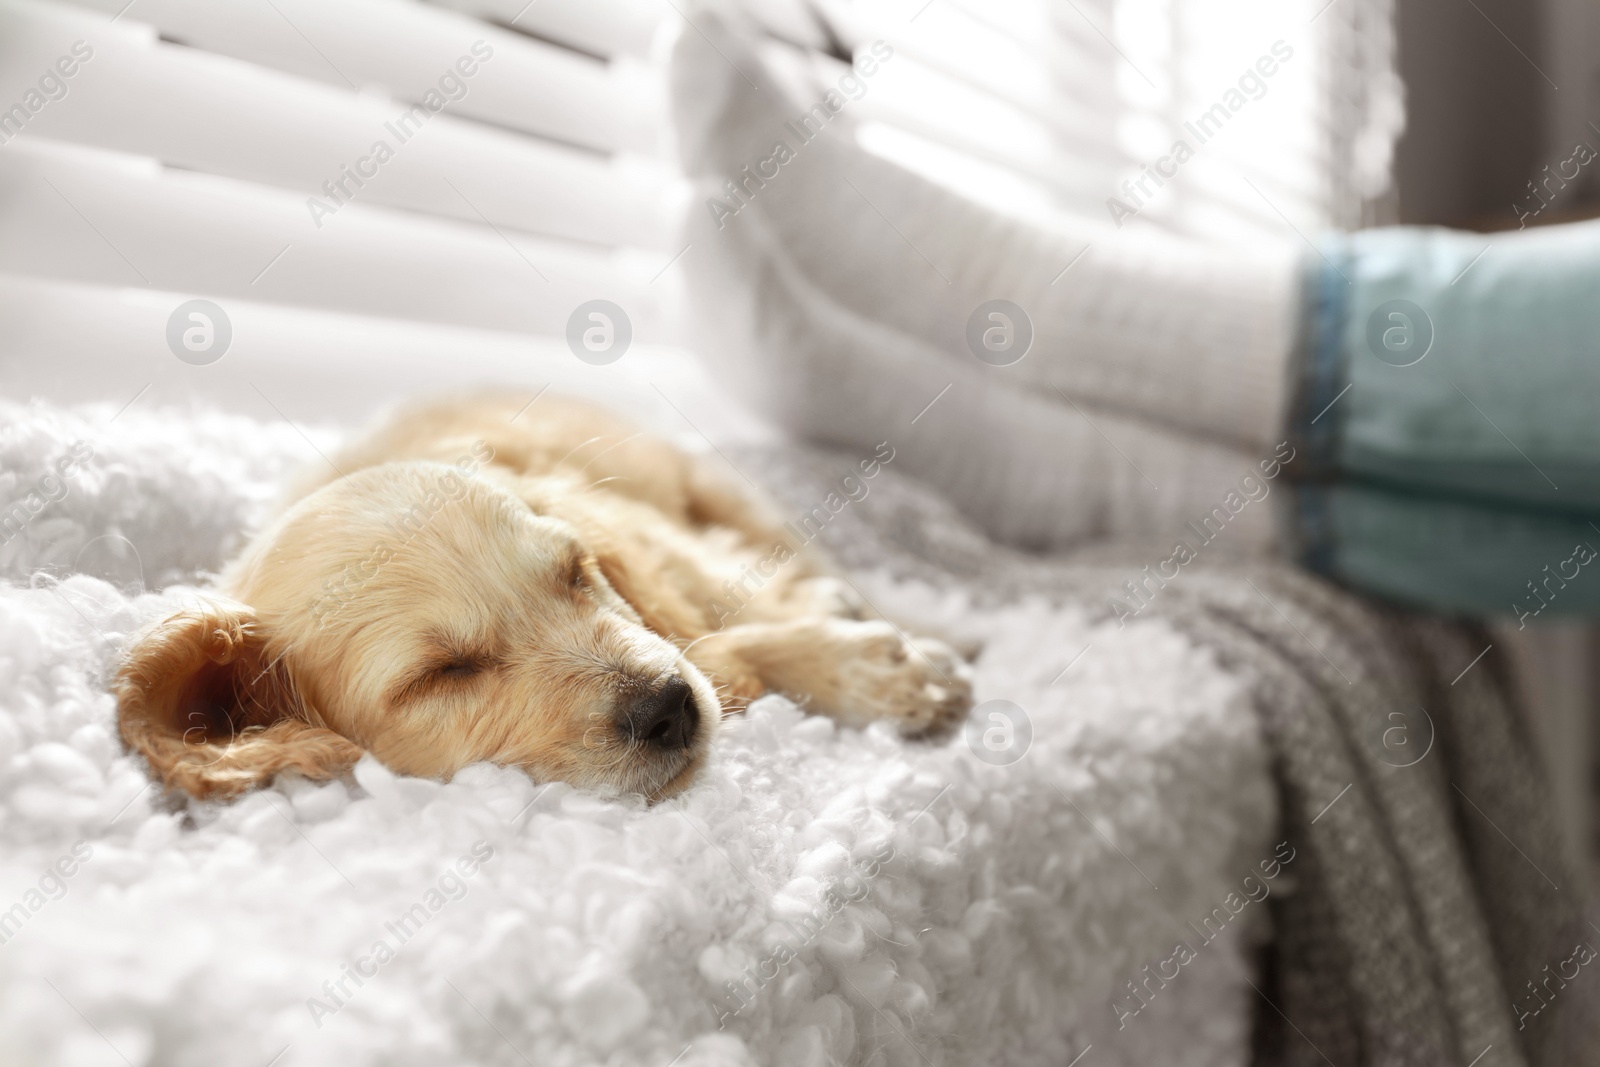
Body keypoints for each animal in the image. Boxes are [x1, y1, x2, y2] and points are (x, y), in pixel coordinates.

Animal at [116, 398, 972, 799]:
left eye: (574, 572)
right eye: (443, 674)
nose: (670, 709)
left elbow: (715, 623)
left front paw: (882, 673)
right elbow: (718, 648)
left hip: (720, 493)